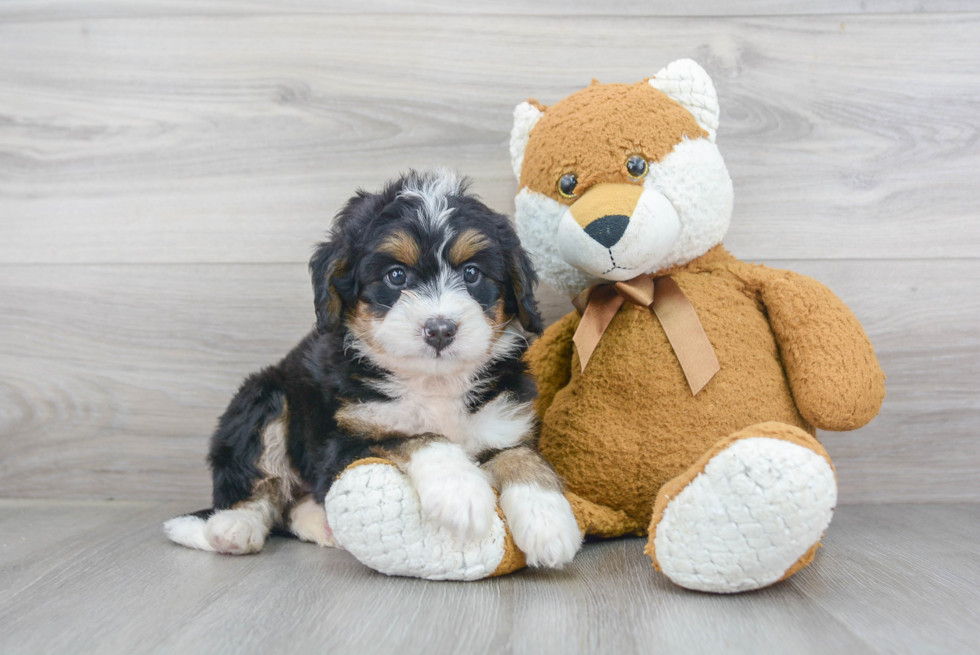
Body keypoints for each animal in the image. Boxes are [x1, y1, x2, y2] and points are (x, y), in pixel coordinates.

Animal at [166, 169, 584, 568]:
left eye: (472, 274)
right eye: (395, 276)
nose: (440, 329)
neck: (434, 383)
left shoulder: (503, 422)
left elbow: (522, 457)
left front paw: (548, 520)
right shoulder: (344, 441)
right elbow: (417, 437)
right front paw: (461, 491)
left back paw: (321, 525)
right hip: (264, 397)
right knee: (259, 484)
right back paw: (233, 527)